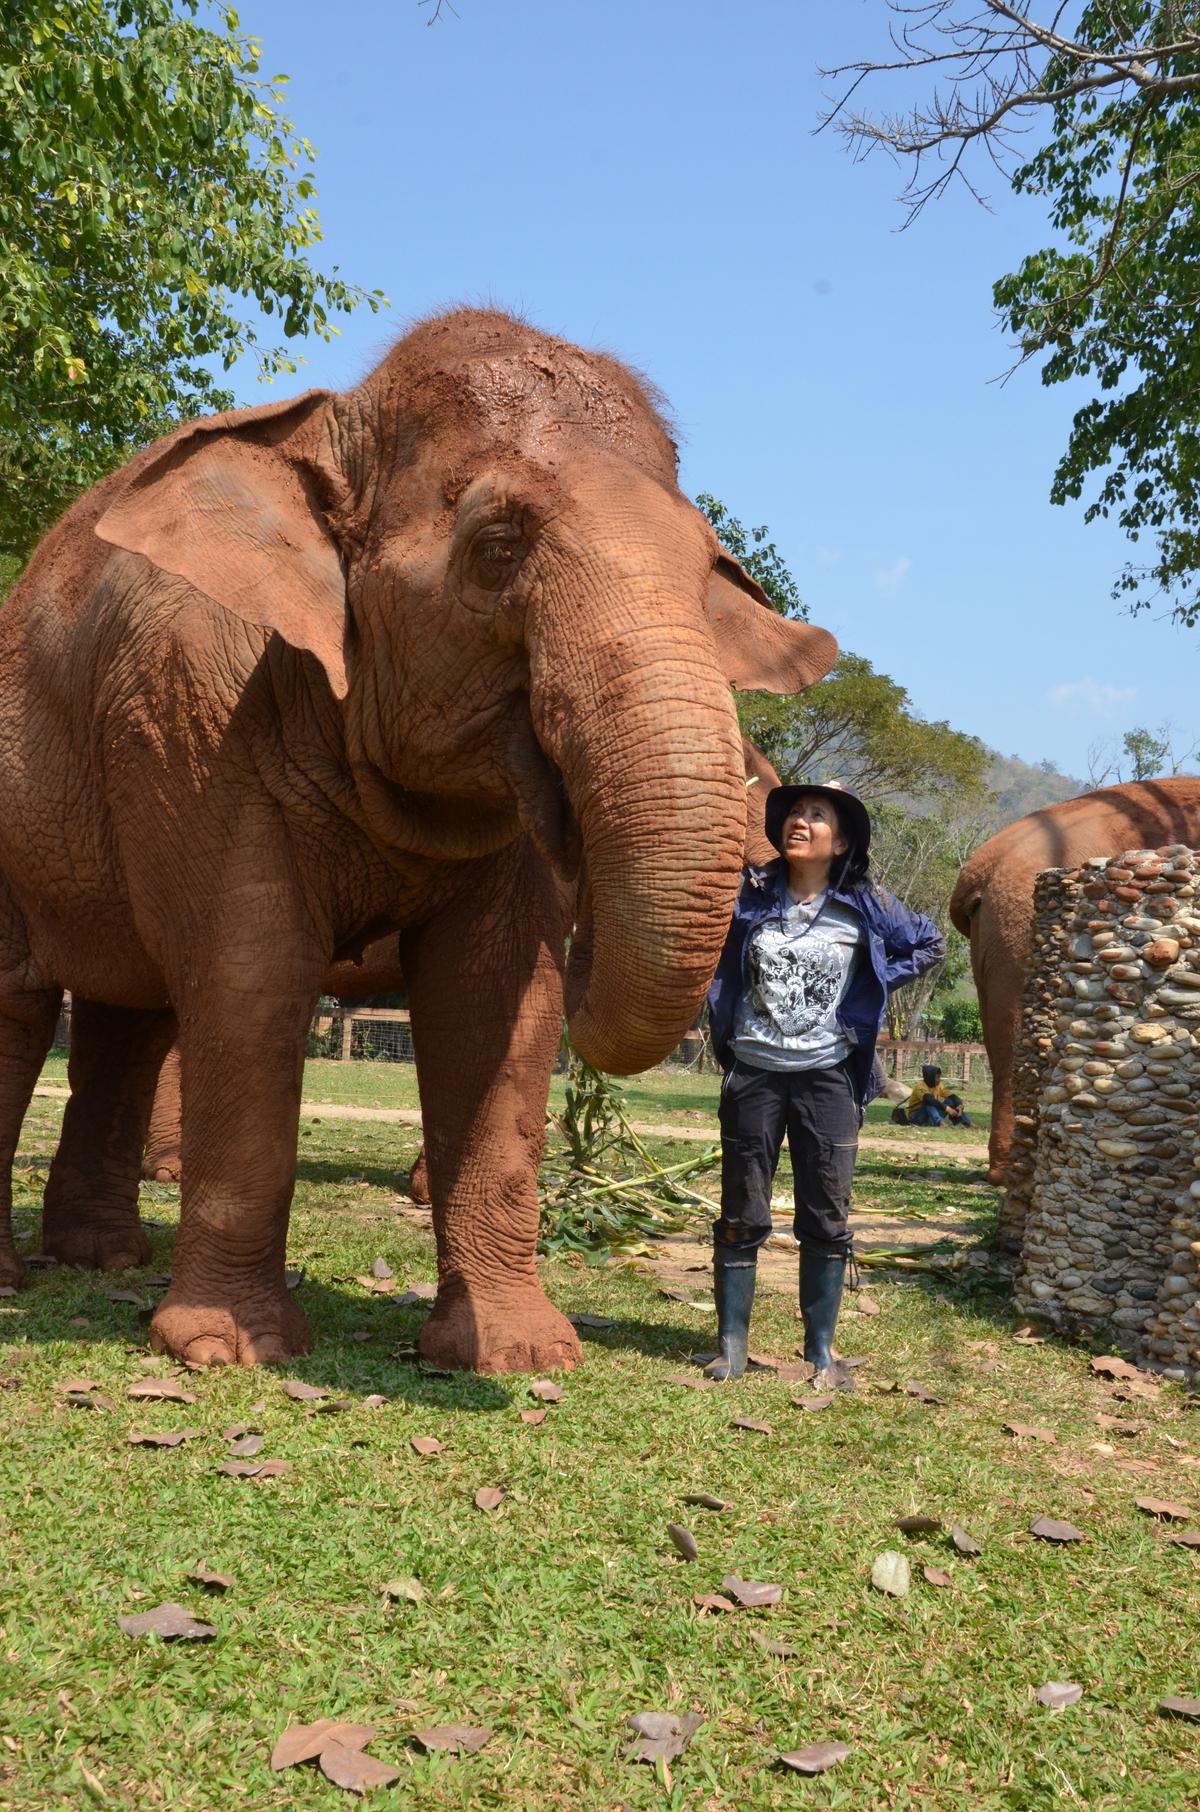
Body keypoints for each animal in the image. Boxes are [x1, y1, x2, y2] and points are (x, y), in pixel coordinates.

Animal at [0, 307, 836, 1371]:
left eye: (709, 575)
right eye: (498, 547)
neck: (336, 423)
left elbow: (497, 1003)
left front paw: (518, 1354)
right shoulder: (194, 709)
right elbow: (250, 974)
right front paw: (229, 1351)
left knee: (128, 1014)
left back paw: (102, 1257)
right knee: (26, 1005)